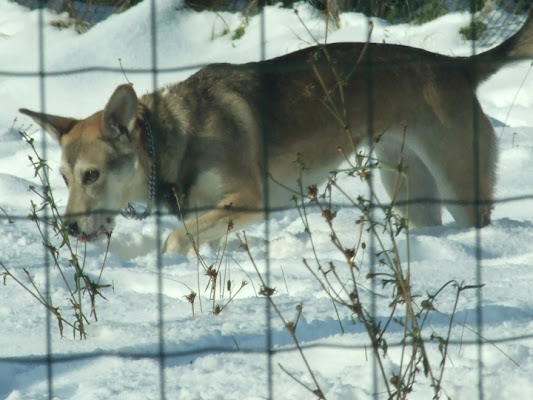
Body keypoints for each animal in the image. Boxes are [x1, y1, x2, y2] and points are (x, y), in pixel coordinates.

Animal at [19, 8, 532, 253]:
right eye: (63, 178)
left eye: (92, 175)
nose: (67, 227)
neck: (176, 138)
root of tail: (457, 66)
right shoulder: (215, 211)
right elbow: (195, 238)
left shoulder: (249, 201)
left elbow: (175, 238)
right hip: (407, 185)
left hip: (461, 187)